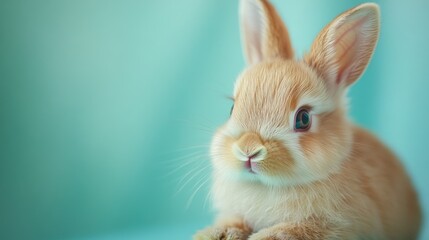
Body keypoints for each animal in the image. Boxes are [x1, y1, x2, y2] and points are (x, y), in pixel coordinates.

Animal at [194, 0, 422, 240]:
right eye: (232, 108)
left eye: (303, 119)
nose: (248, 149)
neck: (267, 185)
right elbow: (234, 222)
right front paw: (215, 233)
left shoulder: (337, 226)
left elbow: (293, 230)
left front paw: (263, 236)